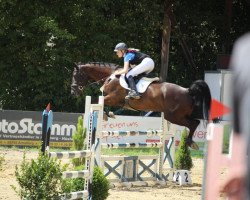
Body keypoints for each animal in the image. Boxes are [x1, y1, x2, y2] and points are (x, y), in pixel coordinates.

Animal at [71, 61, 212, 149]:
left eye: (75, 75)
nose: (73, 92)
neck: (112, 76)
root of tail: (188, 91)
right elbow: (104, 103)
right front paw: (110, 114)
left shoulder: (114, 98)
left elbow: (100, 101)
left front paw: (107, 115)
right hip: (176, 115)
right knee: (195, 122)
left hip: (173, 116)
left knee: (194, 123)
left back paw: (190, 142)